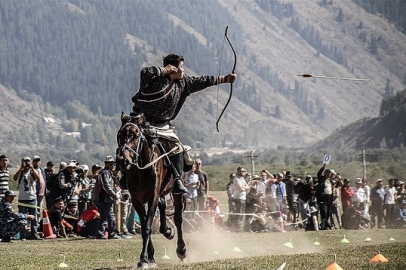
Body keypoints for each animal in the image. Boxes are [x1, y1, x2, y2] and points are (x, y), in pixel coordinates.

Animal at [116, 113, 186, 268]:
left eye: (136, 135)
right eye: (119, 135)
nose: (123, 160)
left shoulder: (152, 196)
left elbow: (147, 226)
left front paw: (144, 259)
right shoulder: (137, 200)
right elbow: (144, 226)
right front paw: (149, 257)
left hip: (175, 193)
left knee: (178, 219)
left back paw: (181, 250)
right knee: (163, 206)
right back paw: (167, 231)